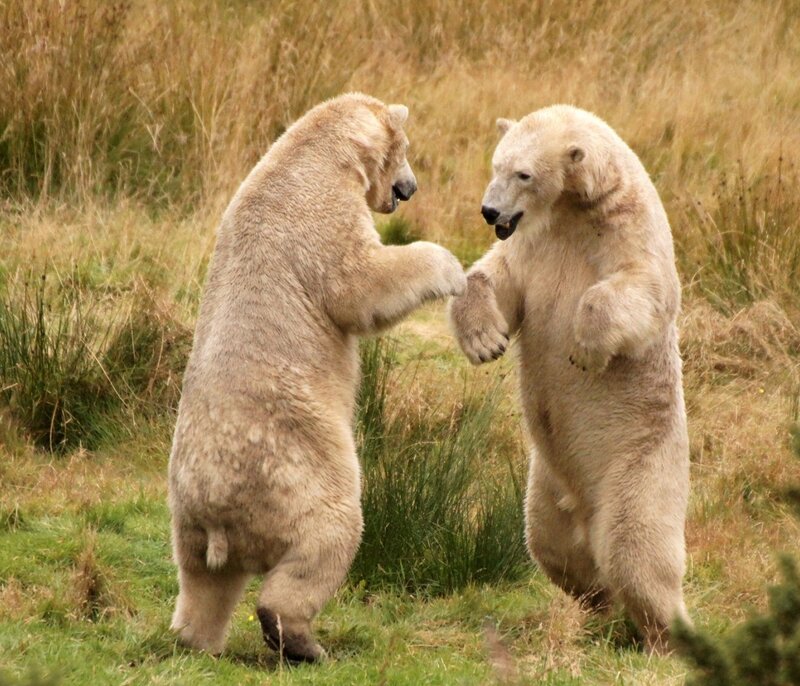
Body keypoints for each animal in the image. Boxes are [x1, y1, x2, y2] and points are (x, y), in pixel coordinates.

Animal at [168, 93, 466, 662]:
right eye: (405, 150)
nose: (409, 189)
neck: (312, 150)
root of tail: (217, 505)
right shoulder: (318, 211)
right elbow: (360, 281)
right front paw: (450, 266)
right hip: (294, 465)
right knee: (330, 532)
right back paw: (301, 640)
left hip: (186, 517)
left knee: (202, 580)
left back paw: (195, 639)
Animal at [448, 105, 690, 653]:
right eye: (496, 164)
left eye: (523, 174)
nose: (489, 212)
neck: (575, 207)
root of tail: (585, 505)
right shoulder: (533, 244)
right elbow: (495, 278)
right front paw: (485, 340)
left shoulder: (628, 227)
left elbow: (645, 288)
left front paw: (584, 348)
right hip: (545, 485)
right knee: (552, 546)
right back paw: (596, 610)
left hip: (640, 465)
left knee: (636, 550)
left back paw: (665, 637)